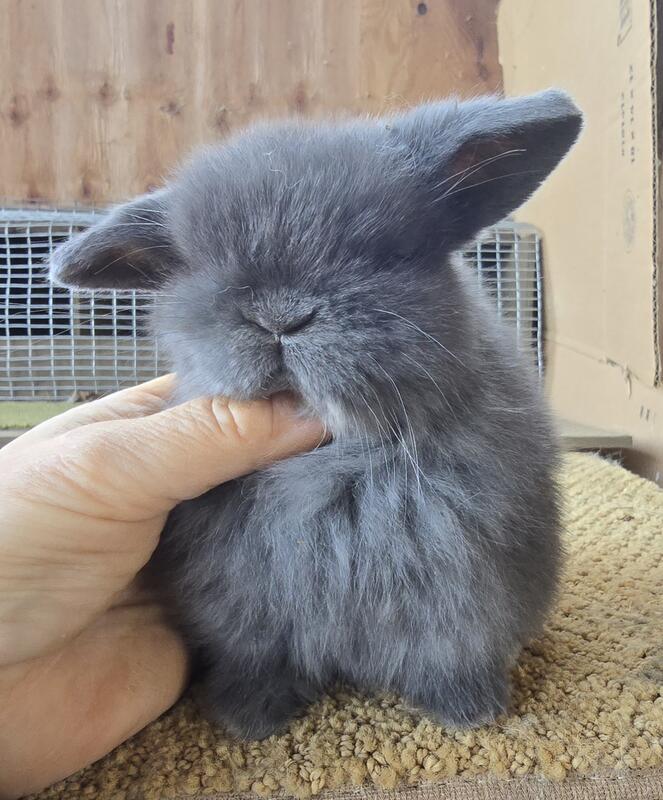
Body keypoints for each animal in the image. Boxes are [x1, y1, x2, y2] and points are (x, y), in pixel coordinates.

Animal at [51, 90, 582, 740]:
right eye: (204, 267)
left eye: (385, 251)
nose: (279, 316)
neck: (333, 460)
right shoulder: (244, 614)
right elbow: (258, 660)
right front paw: (247, 720)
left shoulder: (463, 596)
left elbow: (448, 651)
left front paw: (468, 711)